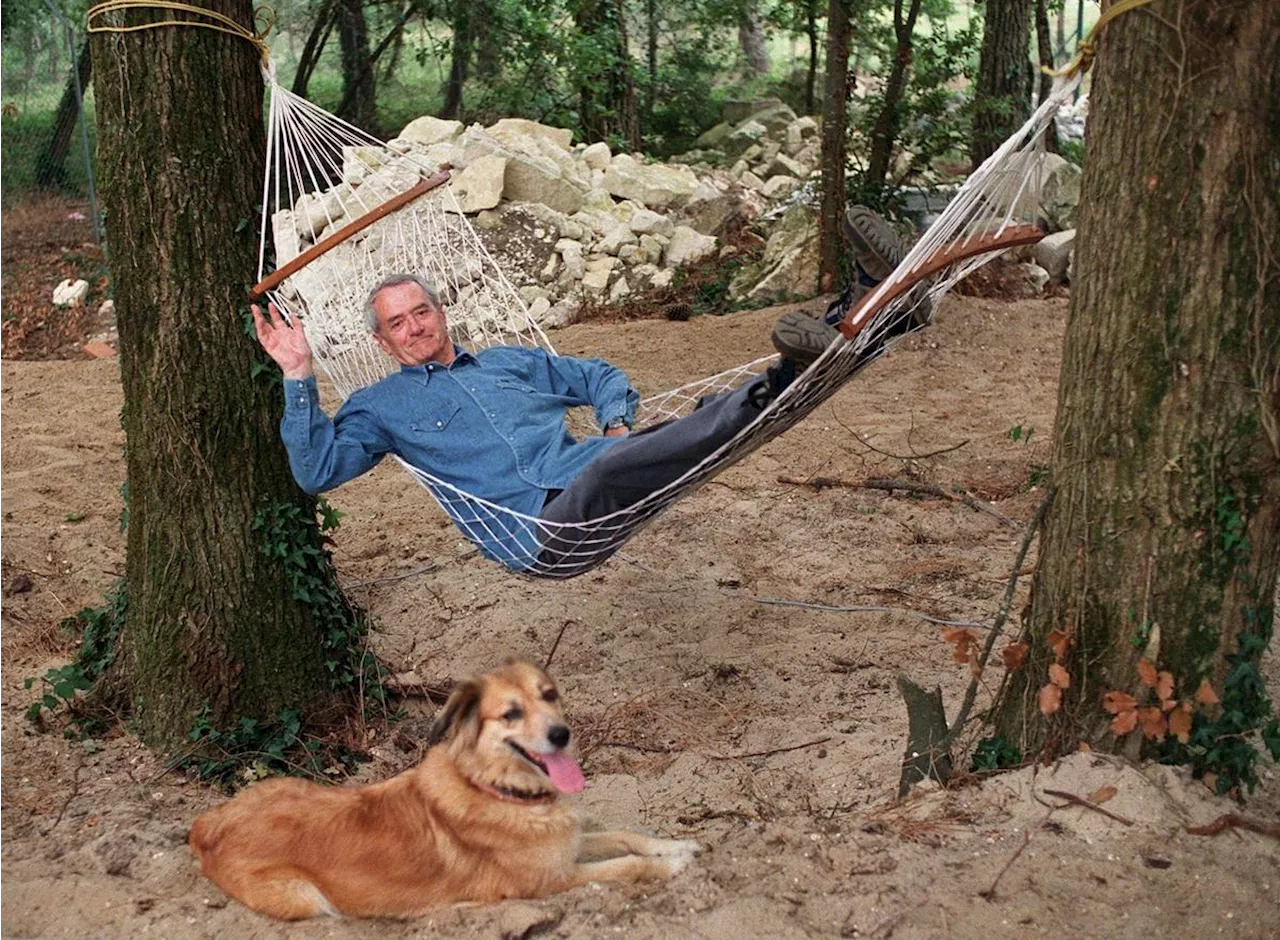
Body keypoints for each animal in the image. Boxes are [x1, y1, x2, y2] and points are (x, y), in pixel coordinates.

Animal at [186, 660, 701, 922]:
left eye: (549, 695)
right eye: (511, 713)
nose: (562, 735)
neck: (496, 789)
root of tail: (207, 825)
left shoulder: (566, 846)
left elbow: (627, 835)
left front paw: (677, 844)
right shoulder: (550, 880)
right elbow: (627, 866)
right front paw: (671, 865)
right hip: (306, 898)